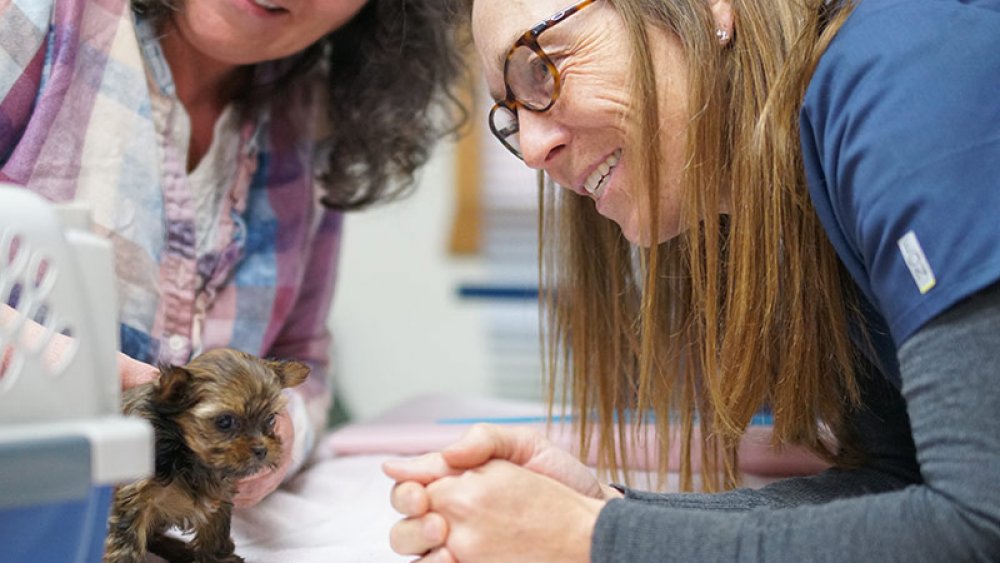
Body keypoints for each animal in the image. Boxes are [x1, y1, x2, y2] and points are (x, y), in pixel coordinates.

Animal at [103, 348, 308, 563]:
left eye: (270, 419)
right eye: (225, 421)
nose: (262, 449)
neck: (187, 457)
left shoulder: (217, 498)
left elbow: (215, 534)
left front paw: (219, 558)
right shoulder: (134, 500)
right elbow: (127, 543)